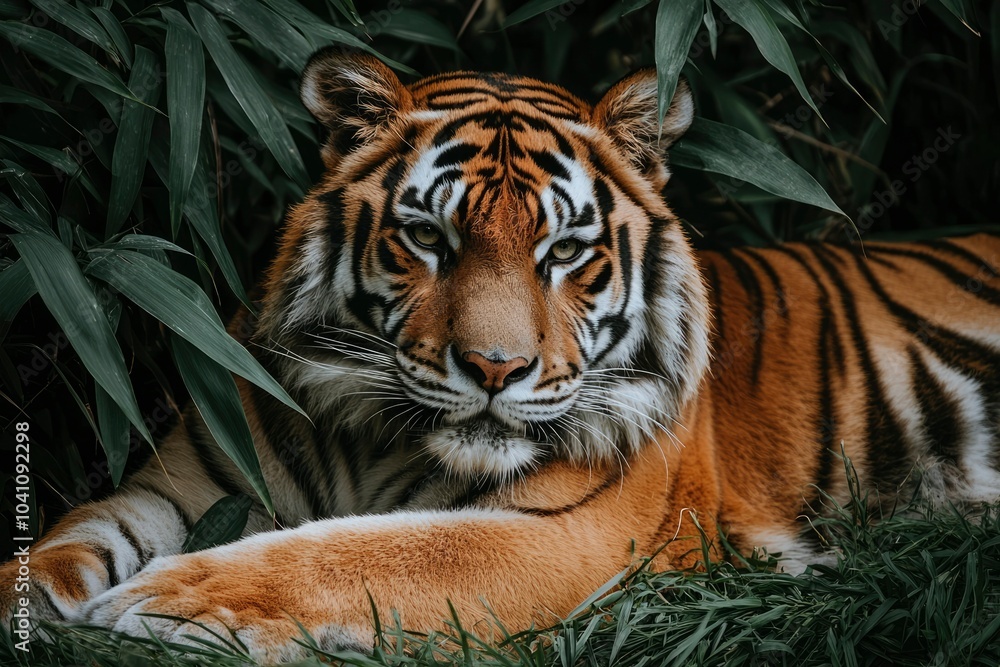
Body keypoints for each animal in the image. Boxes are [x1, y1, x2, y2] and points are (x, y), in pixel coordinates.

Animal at [3, 48, 1000, 663]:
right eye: (428, 238)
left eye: (564, 251)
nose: (494, 368)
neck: (370, 435)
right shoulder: (176, 484)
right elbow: (63, 540)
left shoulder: (574, 529)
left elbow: (366, 552)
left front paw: (170, 599)